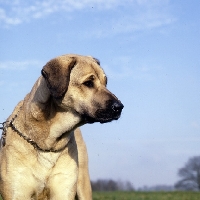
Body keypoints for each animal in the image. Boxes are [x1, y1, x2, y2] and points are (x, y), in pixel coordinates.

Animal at [0, 54, 123, 199]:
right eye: (88, 83)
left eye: (105, 82)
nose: (119, 107)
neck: (48, 144)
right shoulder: (17, 191)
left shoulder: (64, 189)